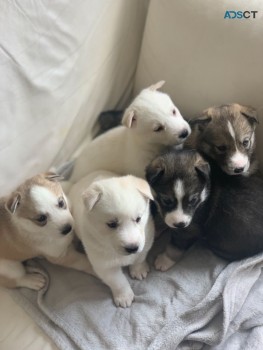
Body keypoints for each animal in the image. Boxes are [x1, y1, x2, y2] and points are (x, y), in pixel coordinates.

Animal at [69, 171, 156, 308]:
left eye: (138, 219)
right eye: (112, 224)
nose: (132, 248)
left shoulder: (146, 240)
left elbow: (140, 257)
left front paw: (139, 269)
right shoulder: (104, 266)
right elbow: (118, 281)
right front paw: (124, 296)